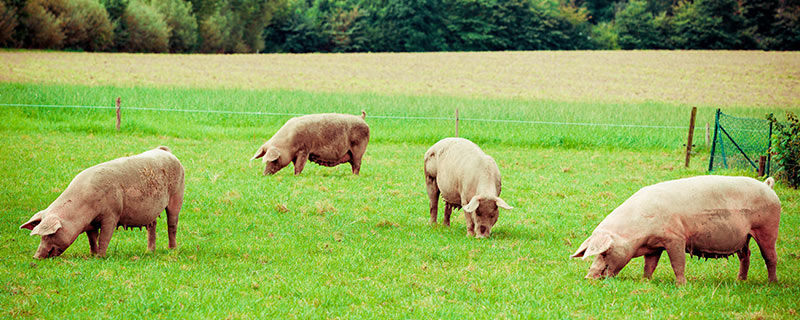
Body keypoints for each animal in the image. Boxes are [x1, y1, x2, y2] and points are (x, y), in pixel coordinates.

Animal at [19, 146, 184, 258]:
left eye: (48, 235)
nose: (36, 257)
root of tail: (166, 151)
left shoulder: (112, 215)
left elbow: (104, 237)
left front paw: (100, 256)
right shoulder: (90, 225)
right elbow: (92, 239)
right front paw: (92, 255)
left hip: (177, 195)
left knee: (172, 224)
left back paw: (172, 249)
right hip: (152, 211)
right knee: (152, 226)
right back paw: (149, 251)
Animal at [568, 175, 780, 284]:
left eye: (604, 253)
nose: (588, 277)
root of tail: (767, 186)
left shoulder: (675, 238)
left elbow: (678, 263)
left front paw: (681, 285)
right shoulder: (654, 246)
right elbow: (649, 265)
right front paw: (645, 281)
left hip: (767, 228)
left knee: (770, 256)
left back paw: (772, 283)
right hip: (745, 237)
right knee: (746, 255)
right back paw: (740, 281)